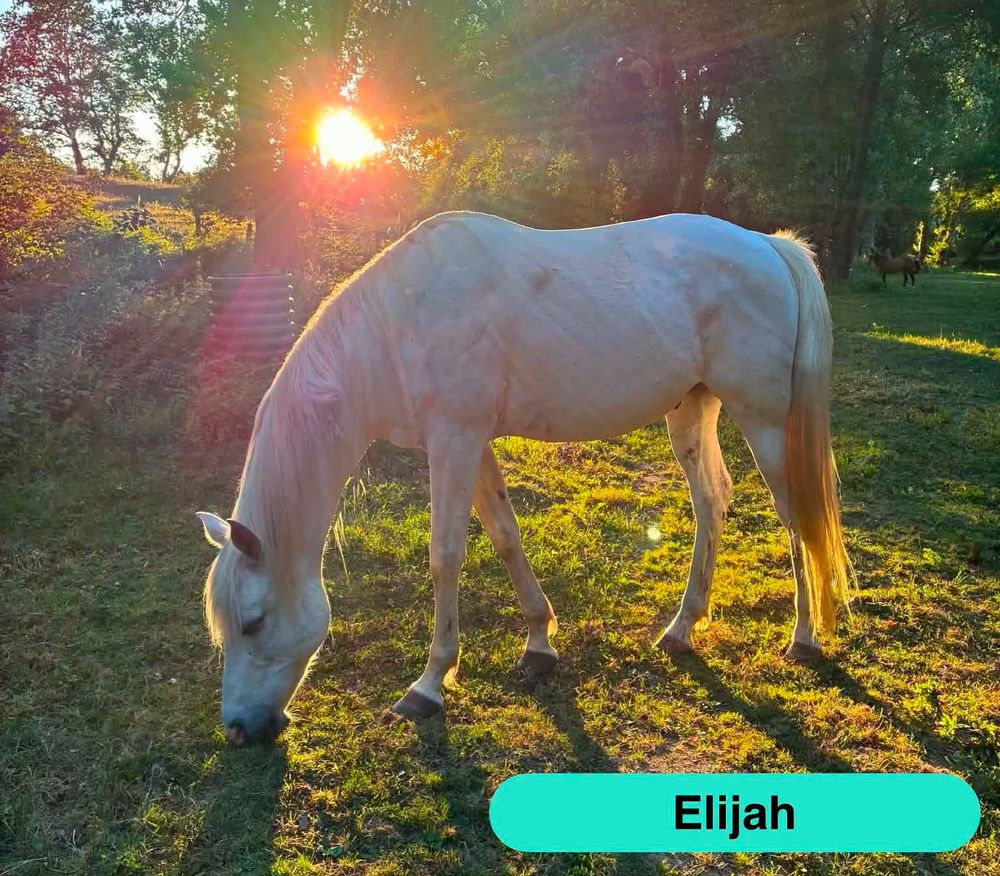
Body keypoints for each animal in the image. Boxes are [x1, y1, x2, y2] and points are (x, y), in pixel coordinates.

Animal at [195, 211, 853, 746]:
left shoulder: (454, 440)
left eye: (254, 622)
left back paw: (804, 637)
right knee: (712, 500)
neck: (396, 324)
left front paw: (428, 685)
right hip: (692, 409)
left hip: (763, 419)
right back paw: (682, 628)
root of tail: (769, 247)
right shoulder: (471, 444)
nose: (239, 730)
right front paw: (539, 644)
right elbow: (505, 535)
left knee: (796, 517)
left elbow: (446, 555)